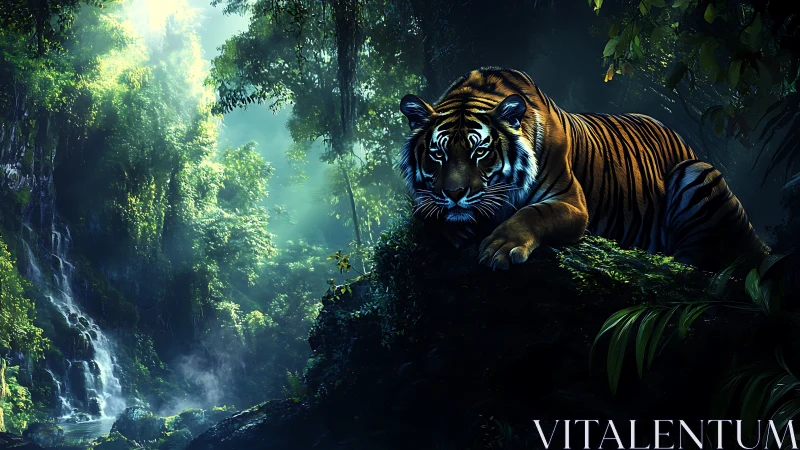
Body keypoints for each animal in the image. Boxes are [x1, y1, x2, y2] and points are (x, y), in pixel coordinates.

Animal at [398, 67, 769, 272]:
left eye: (480, 151)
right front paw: (453, 225)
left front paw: (501, 247)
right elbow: (423, 209)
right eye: (438, 154)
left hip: (696, 172)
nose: (454, 193)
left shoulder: (571, 202)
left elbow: (533, 214)